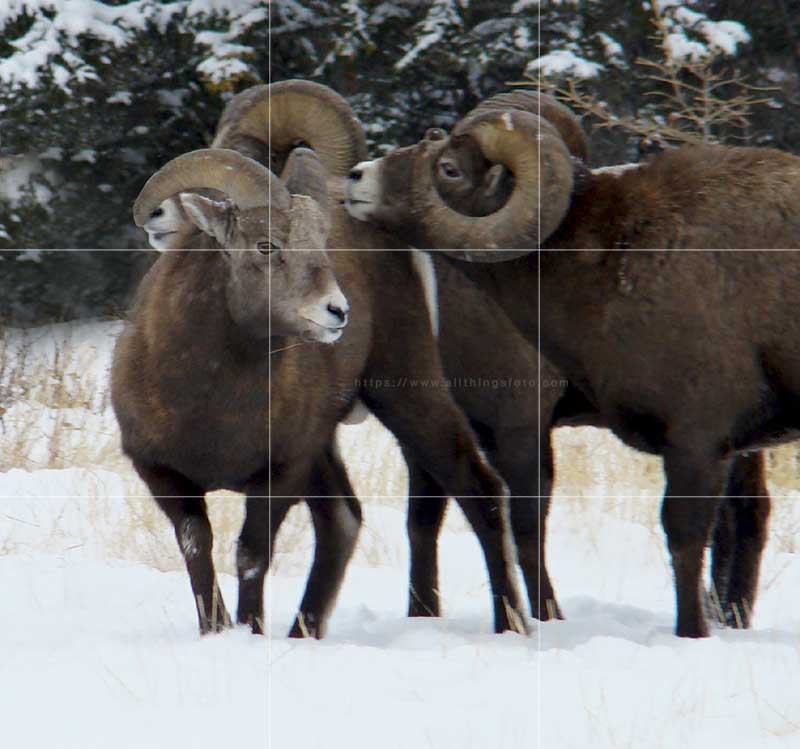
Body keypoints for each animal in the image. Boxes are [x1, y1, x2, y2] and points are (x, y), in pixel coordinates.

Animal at [120, 83, 524, 636]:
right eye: (266, 246)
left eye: (322, 244)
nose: (337, 312)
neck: (209, 398)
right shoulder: (163, 475)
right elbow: (197, 552)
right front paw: (217, 633)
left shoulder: (281, 473)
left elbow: (251, 555)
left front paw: (250, 632)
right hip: (333, 444)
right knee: (344, 522)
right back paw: (304, 633)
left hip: (407, 396)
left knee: (477, 491)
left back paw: (512, 624)